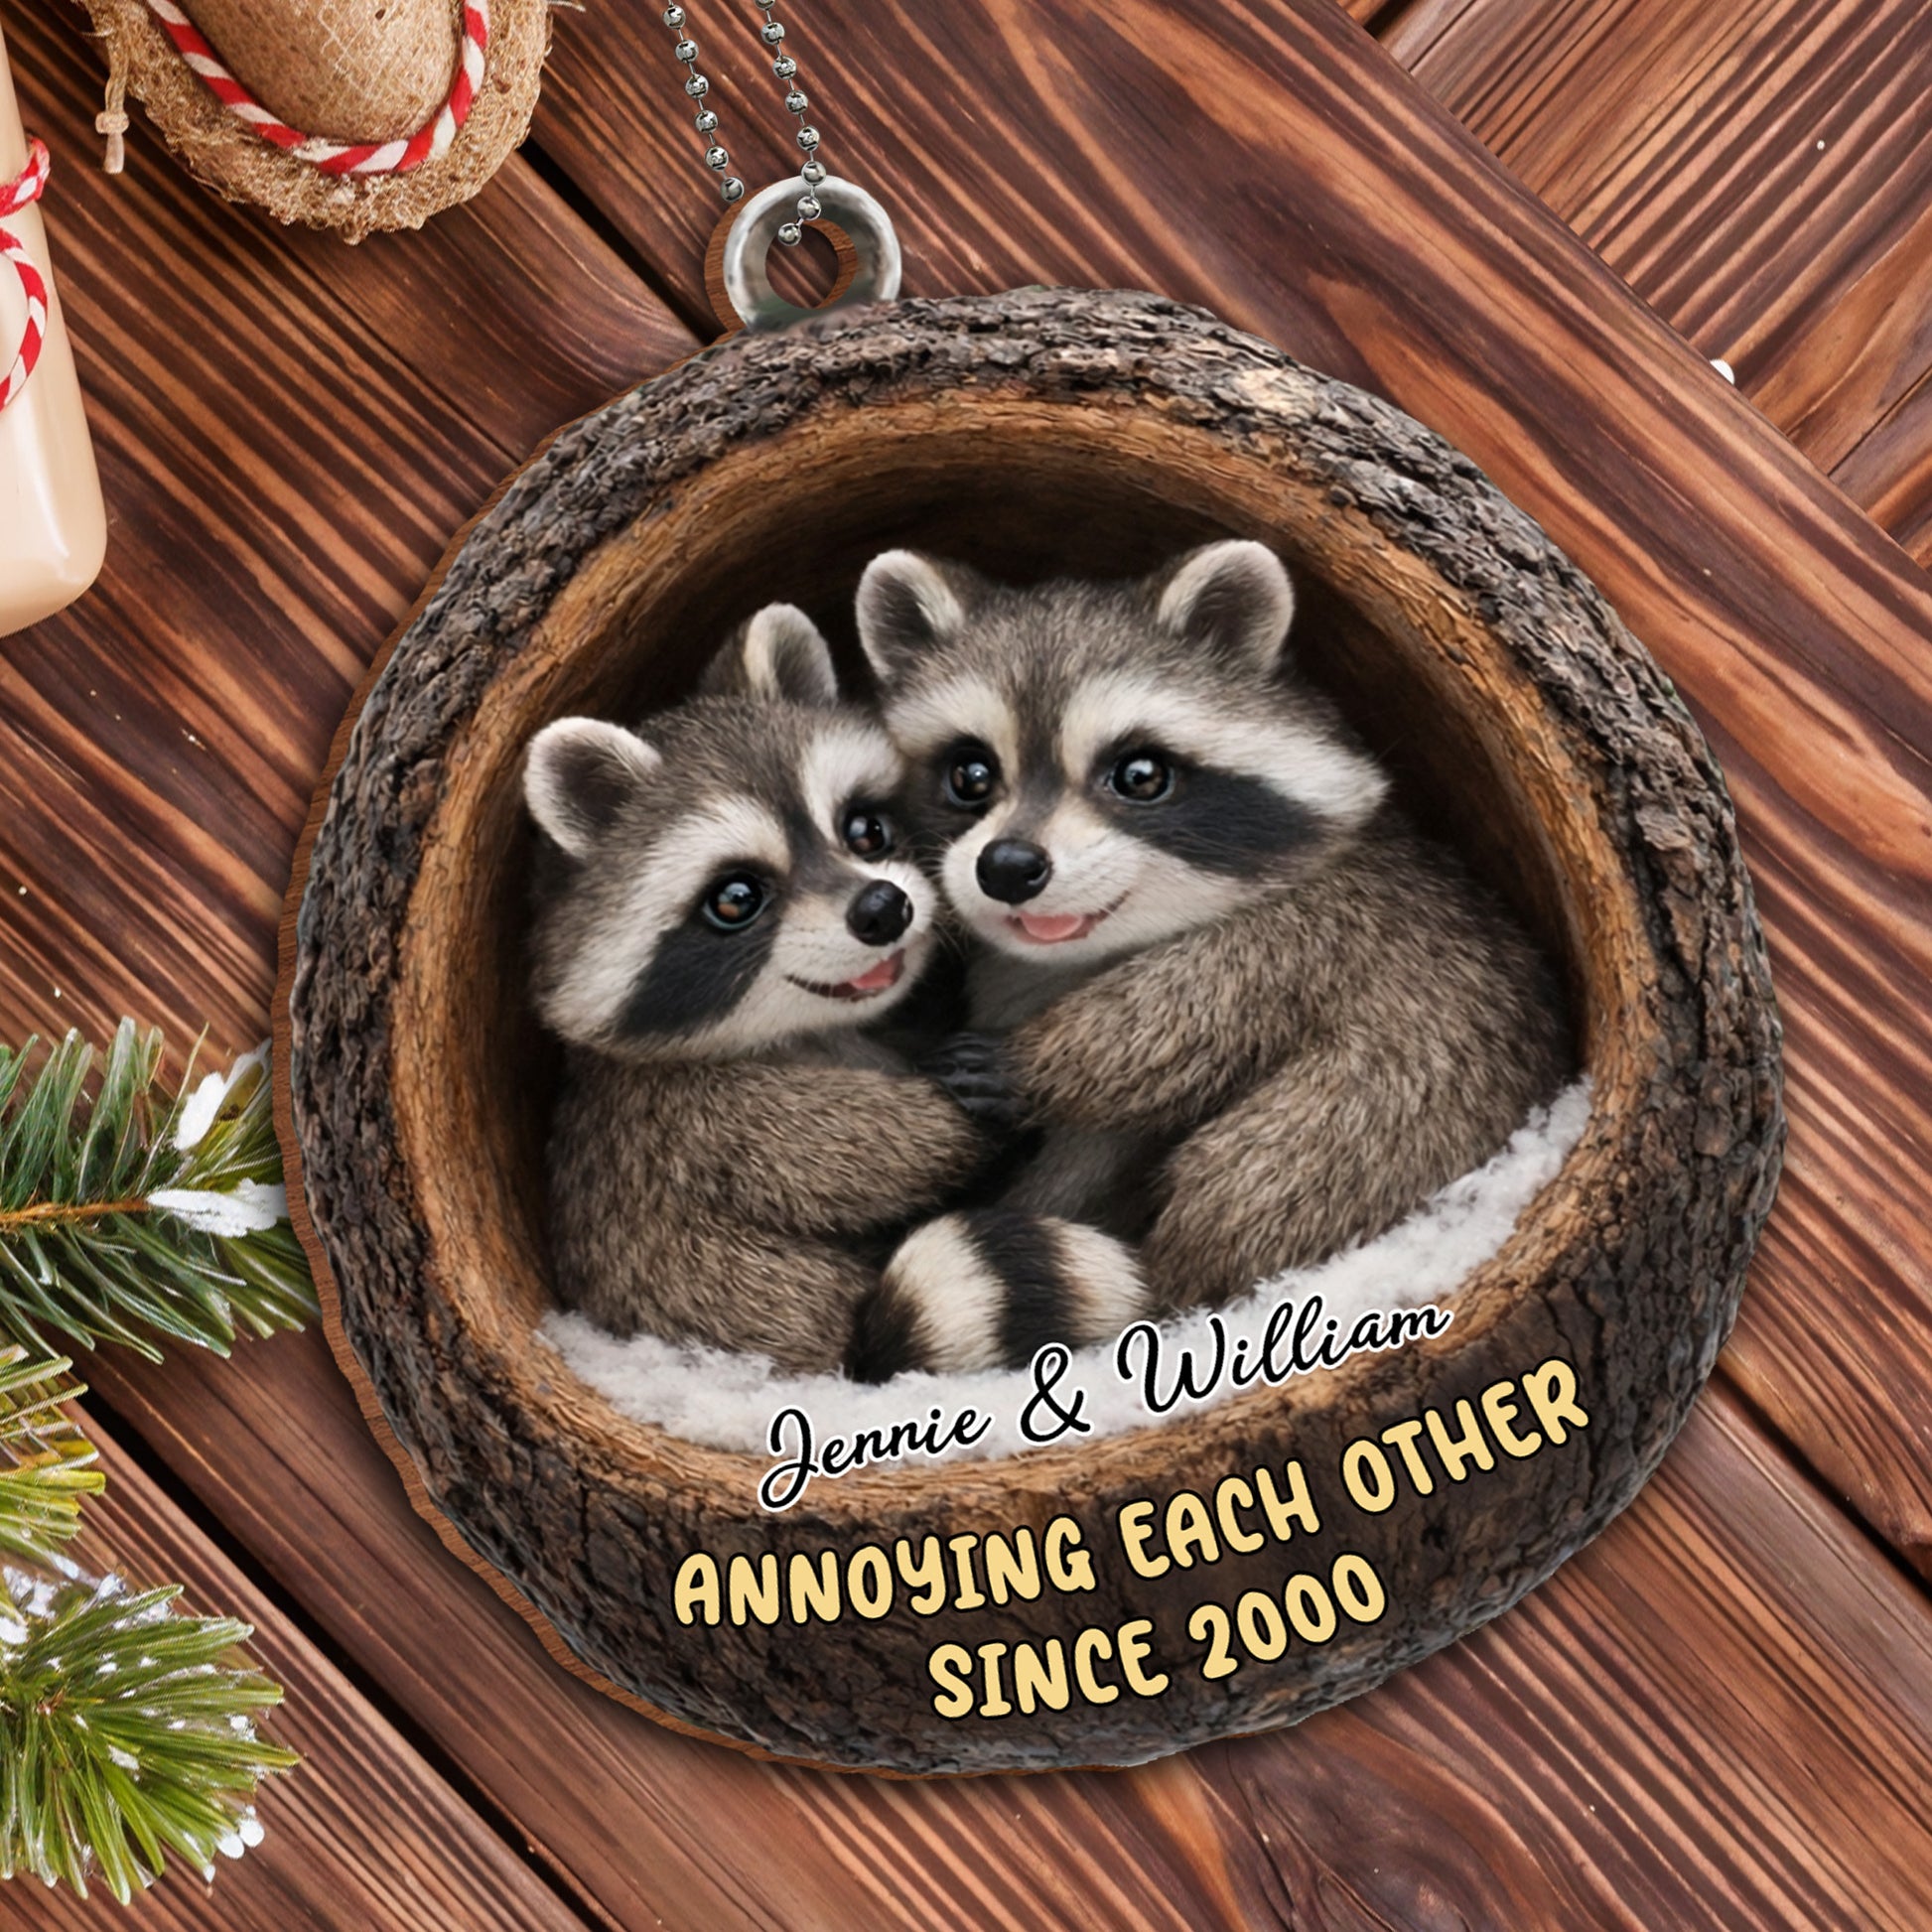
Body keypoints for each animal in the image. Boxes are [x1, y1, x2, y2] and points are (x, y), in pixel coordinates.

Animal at [525, 604, 1010, 1375]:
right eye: (736, 898)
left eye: (865, 830)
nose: (883, 909)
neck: (816, 1026)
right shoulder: (696, 1114)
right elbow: (868, 1152)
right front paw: (974, 1118)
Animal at [855, 539, 1571, 1313]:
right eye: (970, 775)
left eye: (1139, 775)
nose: (1009, 867)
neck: (1083, 955)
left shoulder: (1330, 925)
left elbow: (1199, 1012)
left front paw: (1039, 1063)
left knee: (1262, 1173)